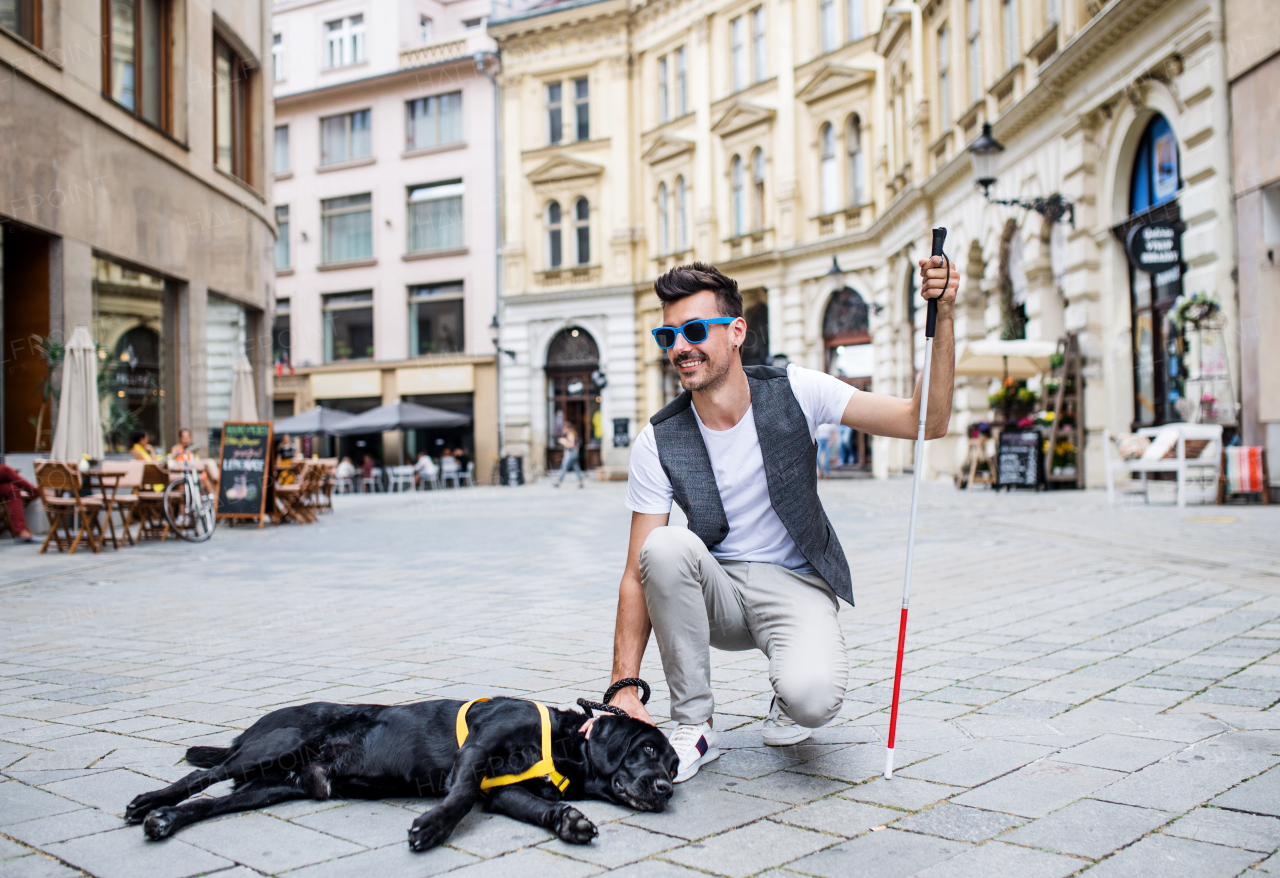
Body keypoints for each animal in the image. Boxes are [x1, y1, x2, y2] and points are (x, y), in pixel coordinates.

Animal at [123, 696, 675, 849]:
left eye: (674, 763)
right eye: (647, 749)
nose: (667, 789)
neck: (561, 746)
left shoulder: (505, 794)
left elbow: (543, 807)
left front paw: (570, 821)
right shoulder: (480, 748)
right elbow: (458, 797)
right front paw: (431, 827)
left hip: (270, 788)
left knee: (212, 802)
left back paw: (167, 820)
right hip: (275, 744)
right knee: (202, 777)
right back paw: (149, 804)